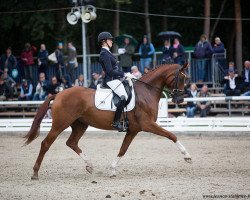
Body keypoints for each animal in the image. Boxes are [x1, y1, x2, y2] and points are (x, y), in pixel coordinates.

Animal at [23, 63, 191, 180]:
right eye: (181, 78)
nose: (180, 99)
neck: (146, 92)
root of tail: (58, 94)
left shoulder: (133, 130)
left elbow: (123, 149)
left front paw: (112, 170)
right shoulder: (147, 125)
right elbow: (171, 135)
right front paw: (187, 156)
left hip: (80, 125)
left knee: (71, 142)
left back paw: (89, 166)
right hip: (60, 124)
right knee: (46, 144)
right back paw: (35, 173)